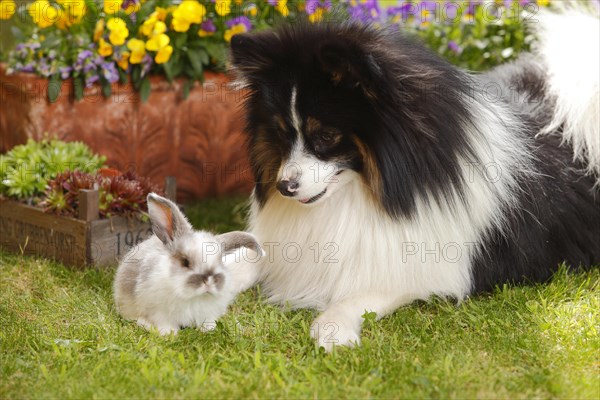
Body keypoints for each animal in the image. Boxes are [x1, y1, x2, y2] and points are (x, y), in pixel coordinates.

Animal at [113, 192, 262, 336]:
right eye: (185, 262)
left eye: (220, 261)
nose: (209, 280)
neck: (193, 297)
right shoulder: (159, 311)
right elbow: (164, 322)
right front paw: (169, 333)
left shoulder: (207, 314)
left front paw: (208, 329)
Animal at [226, 7, 600, 350]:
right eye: (281, 133)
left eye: (326, 136)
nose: (284, 187)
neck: (367, 192)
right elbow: (252, 257)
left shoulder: (433, 265)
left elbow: (369, 290)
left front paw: (333, 326)